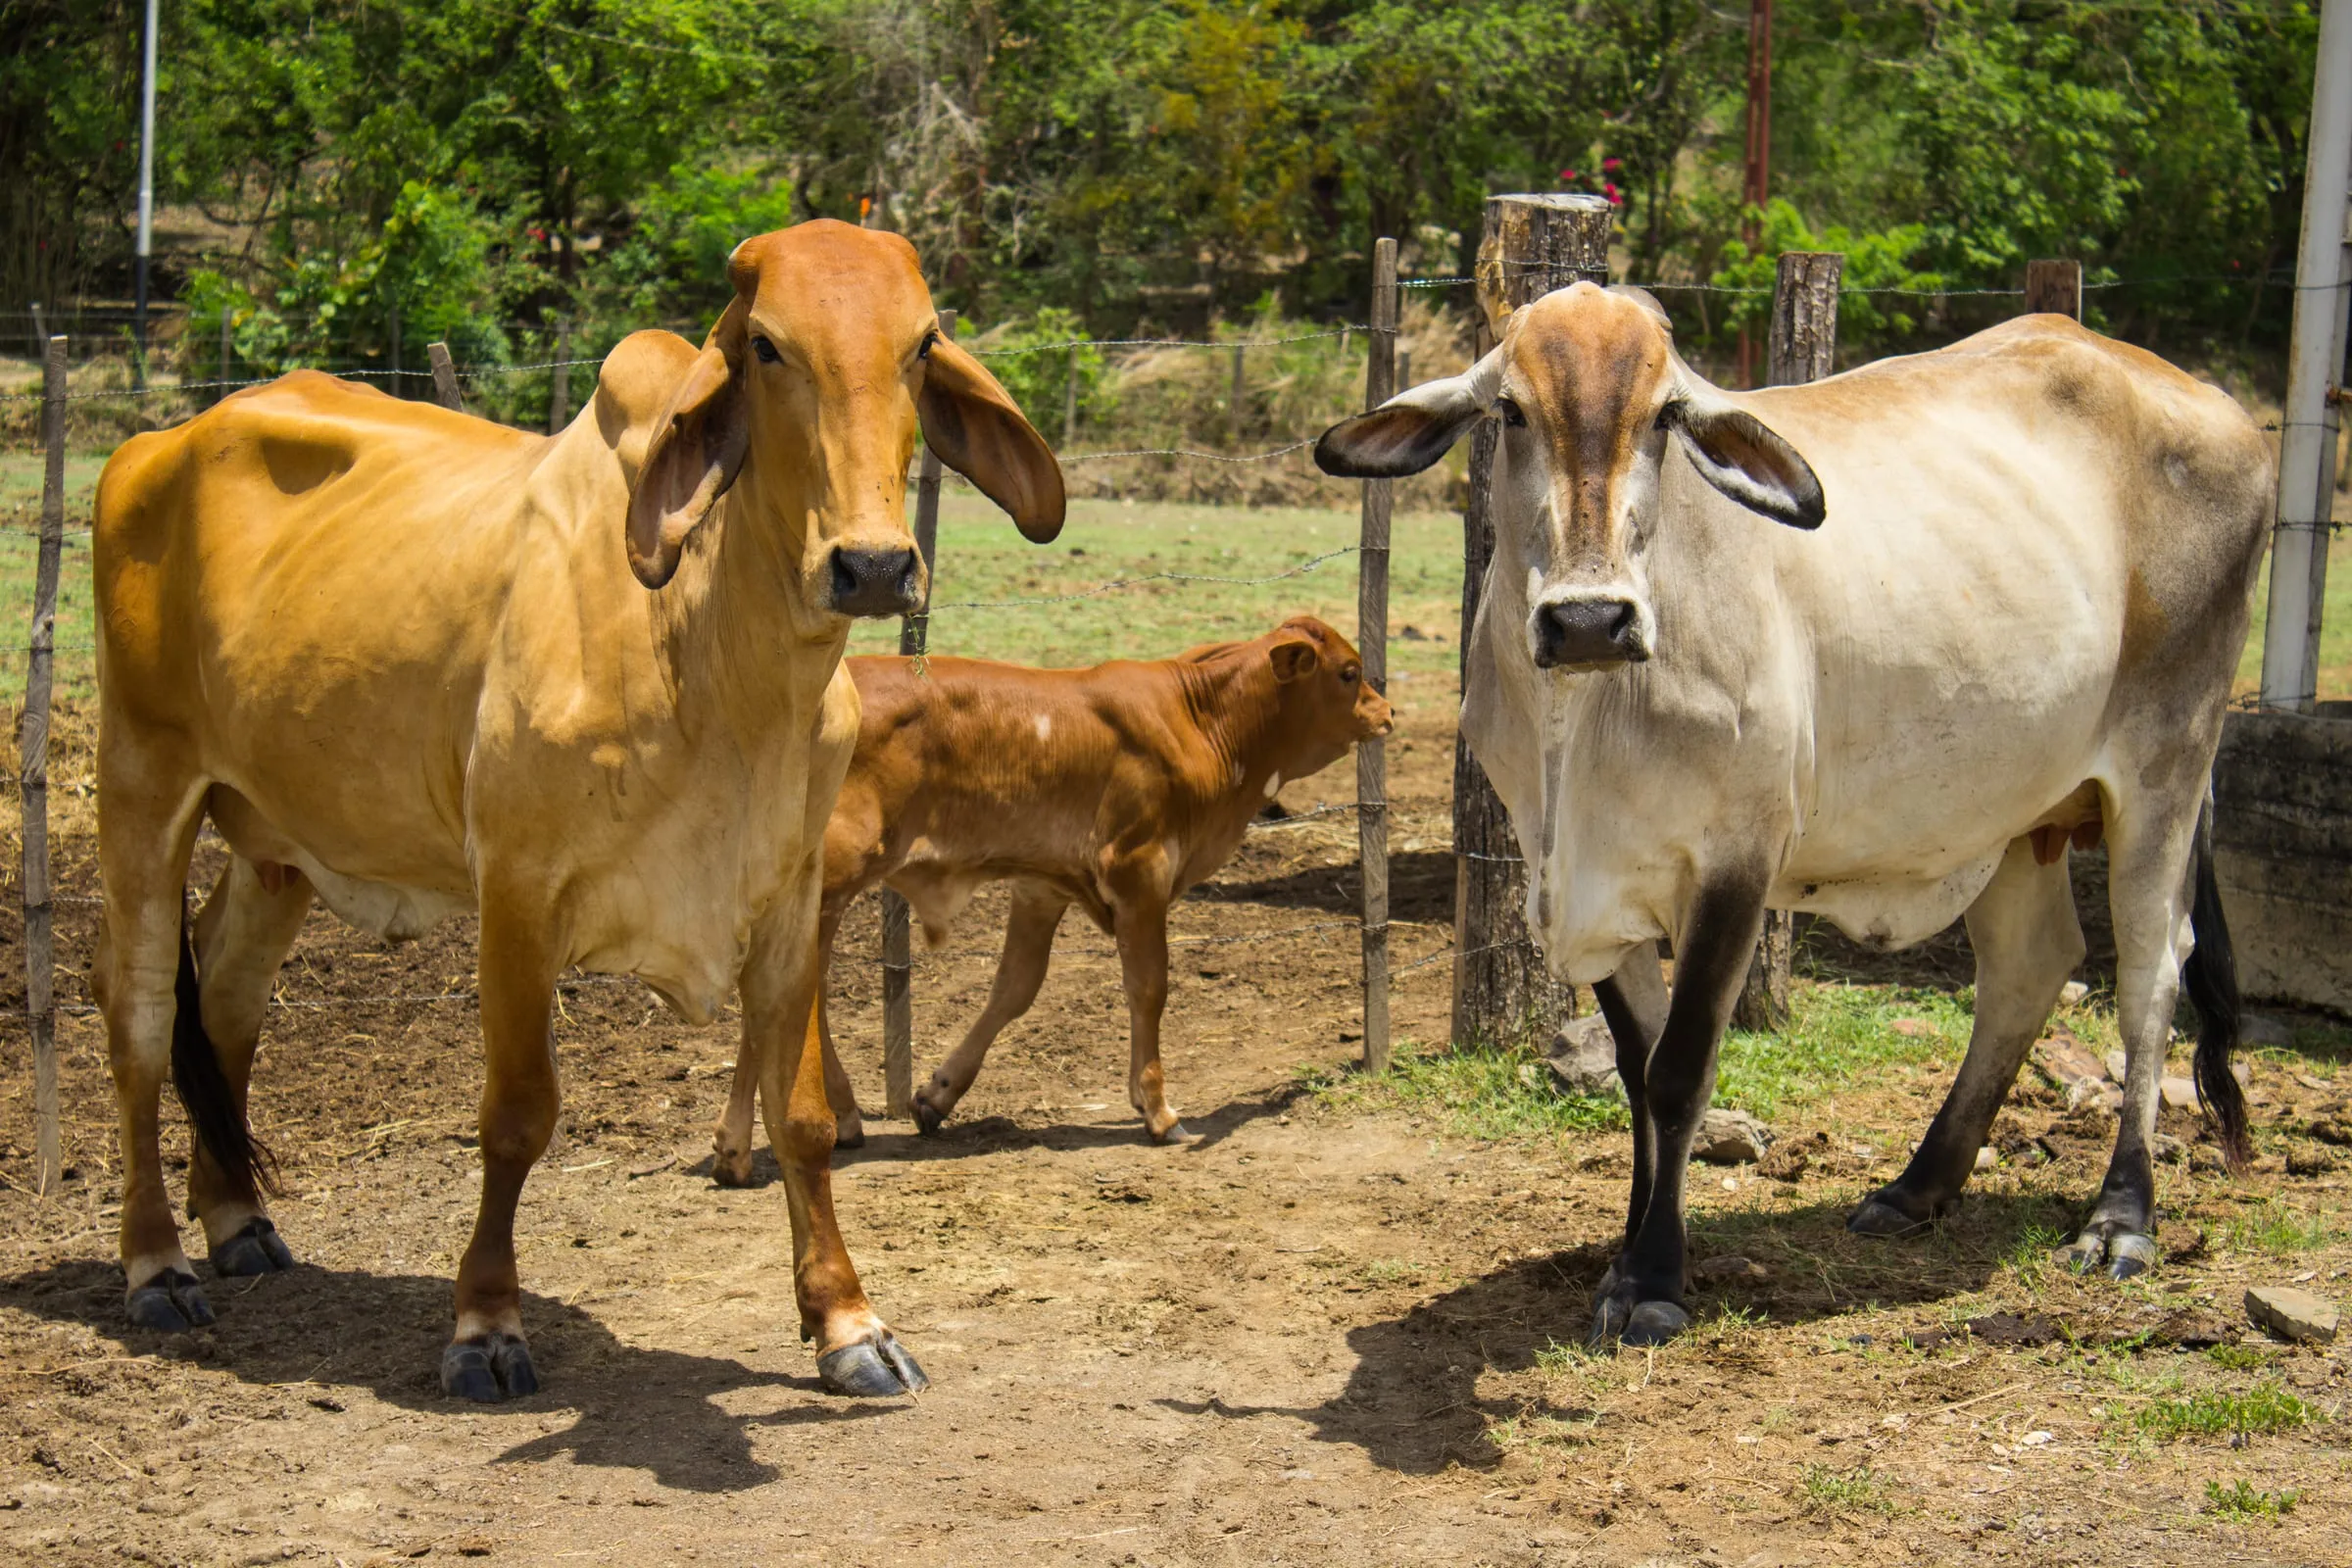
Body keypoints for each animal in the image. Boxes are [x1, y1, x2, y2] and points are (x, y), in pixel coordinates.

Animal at [89, 219, 1064, 1400]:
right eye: (768, 347)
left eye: (921, 344)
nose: (872, 564)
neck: (715, 667)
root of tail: (160, 441)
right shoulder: (517, 892)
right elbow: (516, 1117)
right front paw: (485, 1325)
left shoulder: (789, 899)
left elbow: (803, 1118)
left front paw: (848, 1323)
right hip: (142, 780)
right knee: (141, 1018)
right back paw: (156, 1265)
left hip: (279, 834)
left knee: (226, 1003)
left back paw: (236, 1221)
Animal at [709, 614, 1394, 1179]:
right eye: (1348, 672)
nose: (1387, 713)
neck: (1201, 720)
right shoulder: (1140, 874)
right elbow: (1149, 987)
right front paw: (1158, 1109)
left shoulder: (1041, 887)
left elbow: (1014, 988)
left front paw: (938, 1094)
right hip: (826, 884)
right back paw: (751, 1142)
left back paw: (818, 1124)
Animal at [1314, 282, 2268, 1346]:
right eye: (1512, 412)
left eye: (1664, 417)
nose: (1591, 620)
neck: (1579, 728)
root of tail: (2215, 403)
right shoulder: (1580, 878)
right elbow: (1637, 1070)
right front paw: (1627, 1257)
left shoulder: (1738, 859)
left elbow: (1680, 1069)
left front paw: (1654, 1277)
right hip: (2017, 814)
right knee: (2029, 969)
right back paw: (1918, 1187)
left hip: (2167, 767)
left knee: (2149, 978)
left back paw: (2121, 1217)